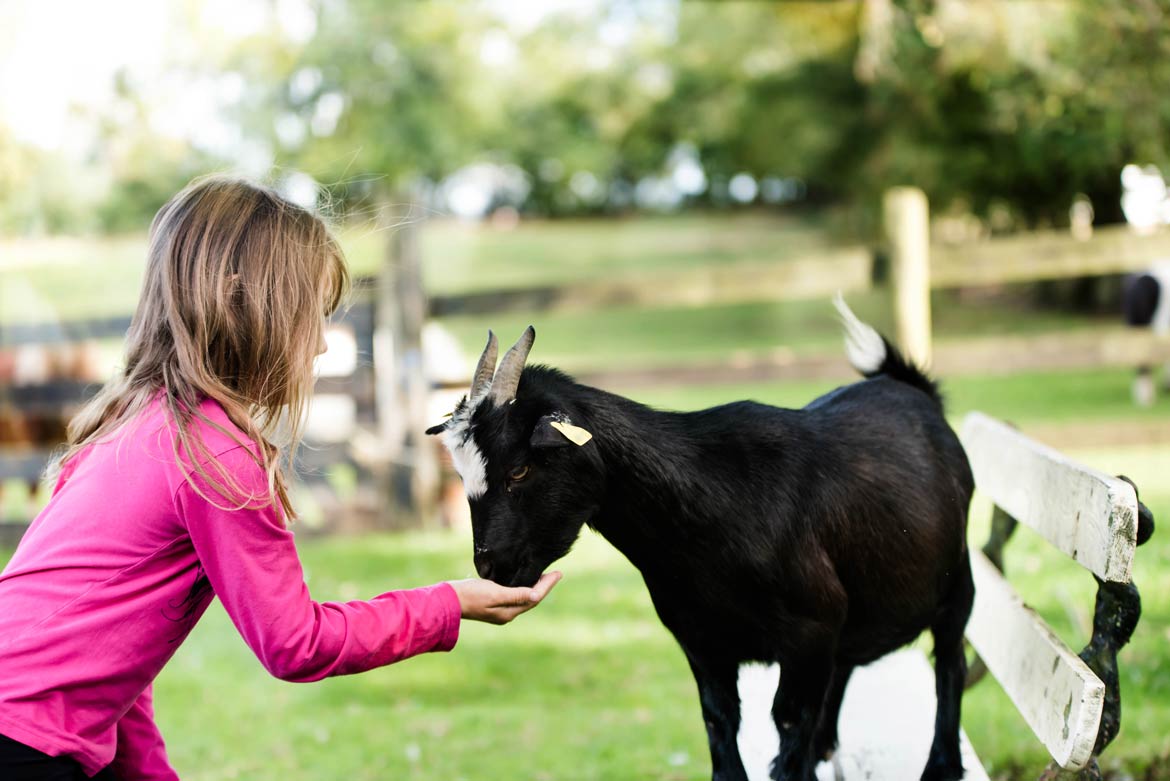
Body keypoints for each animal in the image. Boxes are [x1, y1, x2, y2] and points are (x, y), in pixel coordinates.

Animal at [425, 299, 973, 781]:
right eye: (463, 475)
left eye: (519, 469)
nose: (492, 567)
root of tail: (911, 388)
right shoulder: (702, 639)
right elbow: (720, 721)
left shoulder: (809, 631)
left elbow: (788, 720)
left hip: (957, 581)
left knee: (949, 662)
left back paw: (942, 764)